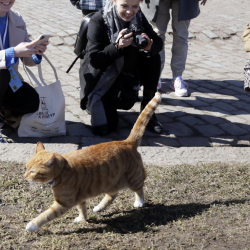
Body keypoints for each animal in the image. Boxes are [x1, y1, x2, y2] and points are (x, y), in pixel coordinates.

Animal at [24, 92, 162, 232]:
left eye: (32, 172)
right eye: (26, 168)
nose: (24, 176)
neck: (62, 171)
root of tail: (127, 142)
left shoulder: (63, 203)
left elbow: (46, 215)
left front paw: (32, 225)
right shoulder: (79, 198)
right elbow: (82, 209)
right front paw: (82, 219)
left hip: (133, 179)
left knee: (139, 189)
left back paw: (139, 202)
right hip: (110, 182)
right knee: (112, 195)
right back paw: (99, 207)